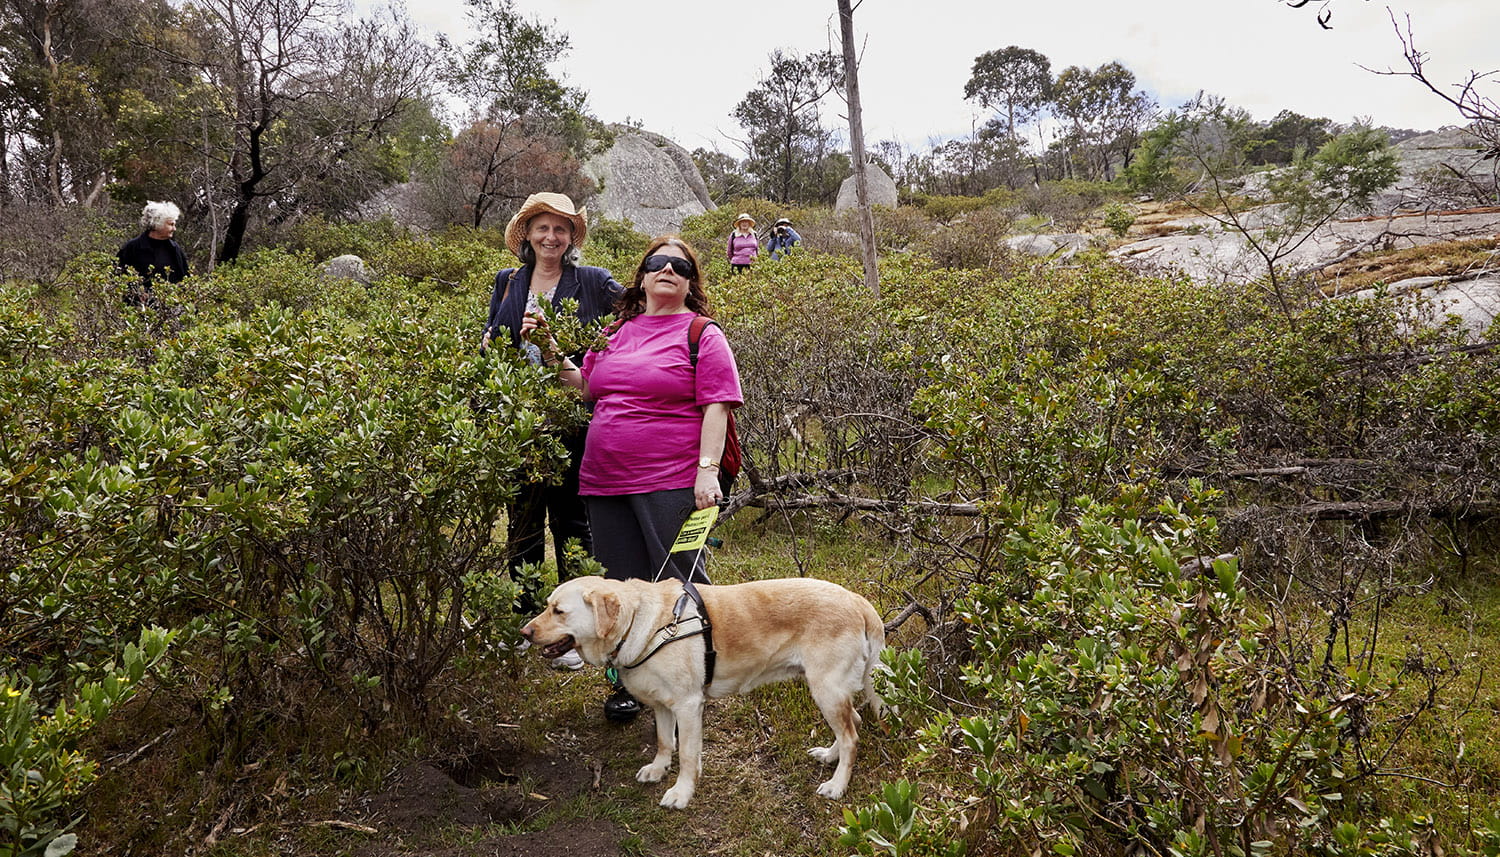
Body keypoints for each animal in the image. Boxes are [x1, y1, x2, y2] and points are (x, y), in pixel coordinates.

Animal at [522, 576, 882, 810]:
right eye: (548, 606)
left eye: (558, 611)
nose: (524, 632)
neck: (642, 624)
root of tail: (859, 602)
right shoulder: (662, 705)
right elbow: (665, 742)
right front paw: (658, 769)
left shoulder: (688, 706)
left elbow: (686, 755)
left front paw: (682, 793)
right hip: (828, 691)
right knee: (854, 721)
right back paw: (830, 756)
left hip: (825, 689)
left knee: (851, 737)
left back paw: (837, 784)